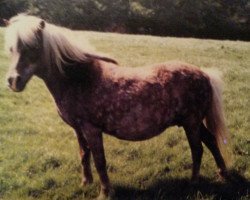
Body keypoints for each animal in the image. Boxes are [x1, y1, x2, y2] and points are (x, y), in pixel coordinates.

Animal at [4, 14, 230, 199]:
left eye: (33, 48)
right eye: (12, 49)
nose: (13, 81)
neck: (79, 79)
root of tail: (204, 74)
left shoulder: (91, 129)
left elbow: (99, 160)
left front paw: (105, 192)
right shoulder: (78, 129)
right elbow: (84, 155)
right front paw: (86, 183)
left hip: (191, 122)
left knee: (197, 150)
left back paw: (194, 182)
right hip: (193, 122)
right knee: (211, 141)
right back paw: (223, 174)